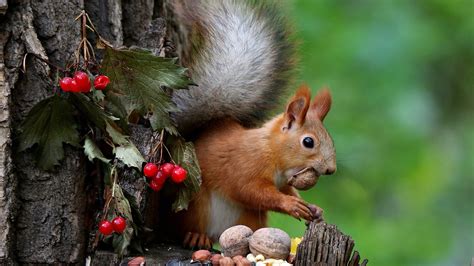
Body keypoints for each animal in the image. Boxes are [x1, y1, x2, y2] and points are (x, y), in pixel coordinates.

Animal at [167, 1, 336, 248]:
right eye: (308, 142)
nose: (331, 169)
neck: (273, 152)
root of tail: (216, 234)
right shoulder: (245, 165)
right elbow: (250, 191)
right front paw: (291, 205)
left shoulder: (283, 182)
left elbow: (287, 191)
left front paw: (314, 208)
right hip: (196, 203)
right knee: (187, 227)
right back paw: (196, 236)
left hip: (250, 217)